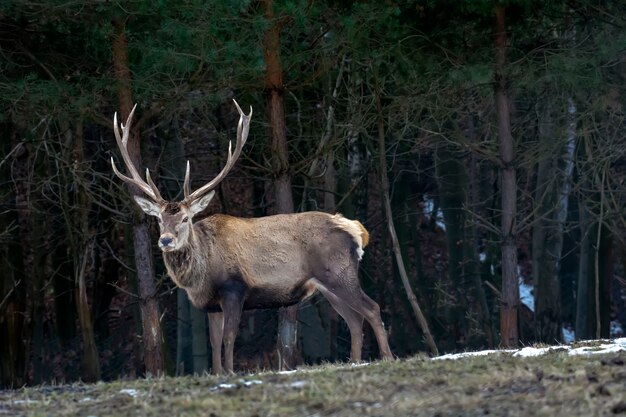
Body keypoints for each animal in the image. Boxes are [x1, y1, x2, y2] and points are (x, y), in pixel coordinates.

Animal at [108, 101, 390, 374]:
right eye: (158, 219)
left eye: (186, 218)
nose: (166, 240)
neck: (201, 277)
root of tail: (357, 229)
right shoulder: (210, 305)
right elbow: (214, 342)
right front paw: (218, 373)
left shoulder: (234, 288)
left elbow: (229, 338)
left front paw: (232, 372)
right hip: (327, 285)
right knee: (354, 319)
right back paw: (355, 361)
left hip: (338, 273)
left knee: (372, 308)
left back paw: (387, 357)